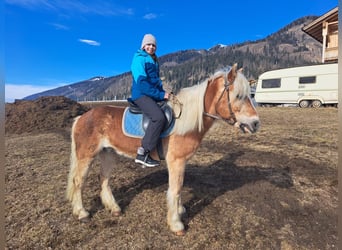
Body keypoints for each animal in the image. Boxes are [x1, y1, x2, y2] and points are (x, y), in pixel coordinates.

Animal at [66, 63, 260, 235]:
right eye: (238, 96)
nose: (256, 123)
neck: (185, 120)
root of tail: (82, 117)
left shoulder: (181, 162)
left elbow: (179, 187)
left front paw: (180, 211)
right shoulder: (176, 160)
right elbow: (175, 189)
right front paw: (176, 224)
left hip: (108, 154)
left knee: (104, 179)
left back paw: (114, 208)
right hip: (86, 155)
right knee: (78, 181)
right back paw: (81, 213)